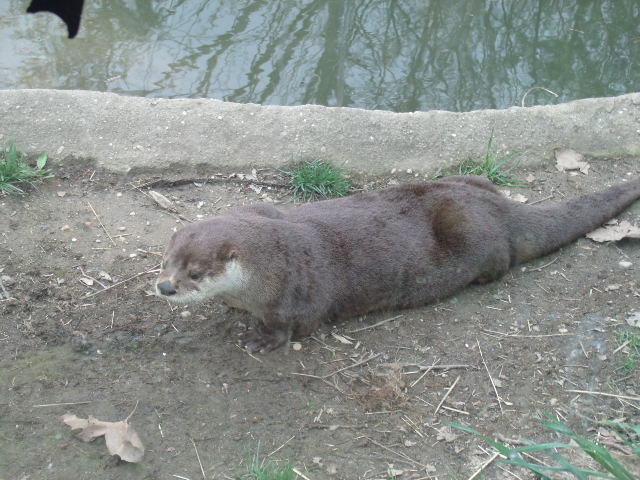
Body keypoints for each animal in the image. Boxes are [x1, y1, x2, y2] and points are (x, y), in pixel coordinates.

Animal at [155, 175, 640, 353]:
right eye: (167, 262)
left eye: (195, 274)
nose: (165, 288)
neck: (268, 269)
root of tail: (499, 207)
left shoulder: (299, 296)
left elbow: (289, 328)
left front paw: (260, 339)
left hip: (473, 234)